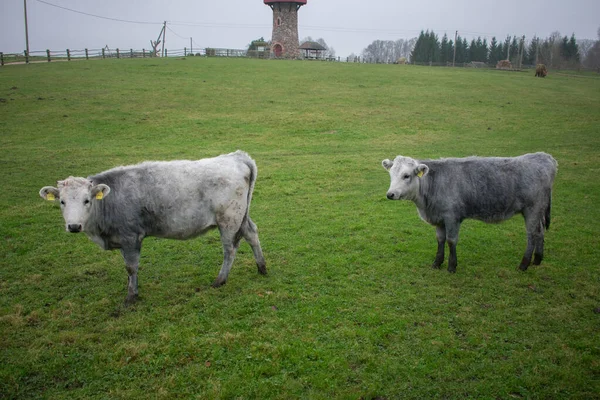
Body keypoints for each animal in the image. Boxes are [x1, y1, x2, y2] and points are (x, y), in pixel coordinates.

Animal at [41, 152, 266, 304]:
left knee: (230, 249)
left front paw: (131, 296)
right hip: (241, 217)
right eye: (62, 201)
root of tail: (236, 157)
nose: (73, 225)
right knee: (252, 233)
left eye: (86, 200)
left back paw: (220, 280)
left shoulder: (130, 237)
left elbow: (131, 267)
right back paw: (261, 267)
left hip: (228, 220)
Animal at [384, 152, 556, 272]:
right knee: (540, 231)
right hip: (539, 211)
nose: (390, 194)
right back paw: (537, 259)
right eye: (391, 174)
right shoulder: (439, 218)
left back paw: (524, 264)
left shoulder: (452, 217)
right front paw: (437, 263)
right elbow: (440, 240)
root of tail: (544, 157)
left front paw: (452, 266)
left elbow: (451, 240)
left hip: (532, 209)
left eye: (406, 175)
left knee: (532, 234)